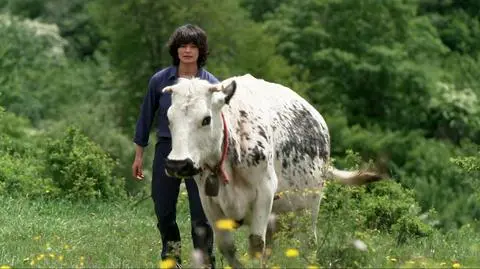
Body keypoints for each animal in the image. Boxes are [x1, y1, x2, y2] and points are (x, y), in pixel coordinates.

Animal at [163, 74, 380, 268]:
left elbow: (256, 243)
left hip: (310, 206)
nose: (177, 164)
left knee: (309, 243)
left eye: (206, 119)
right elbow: (227, 247)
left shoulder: (265, 192)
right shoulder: (209, 202)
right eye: (169, 119)